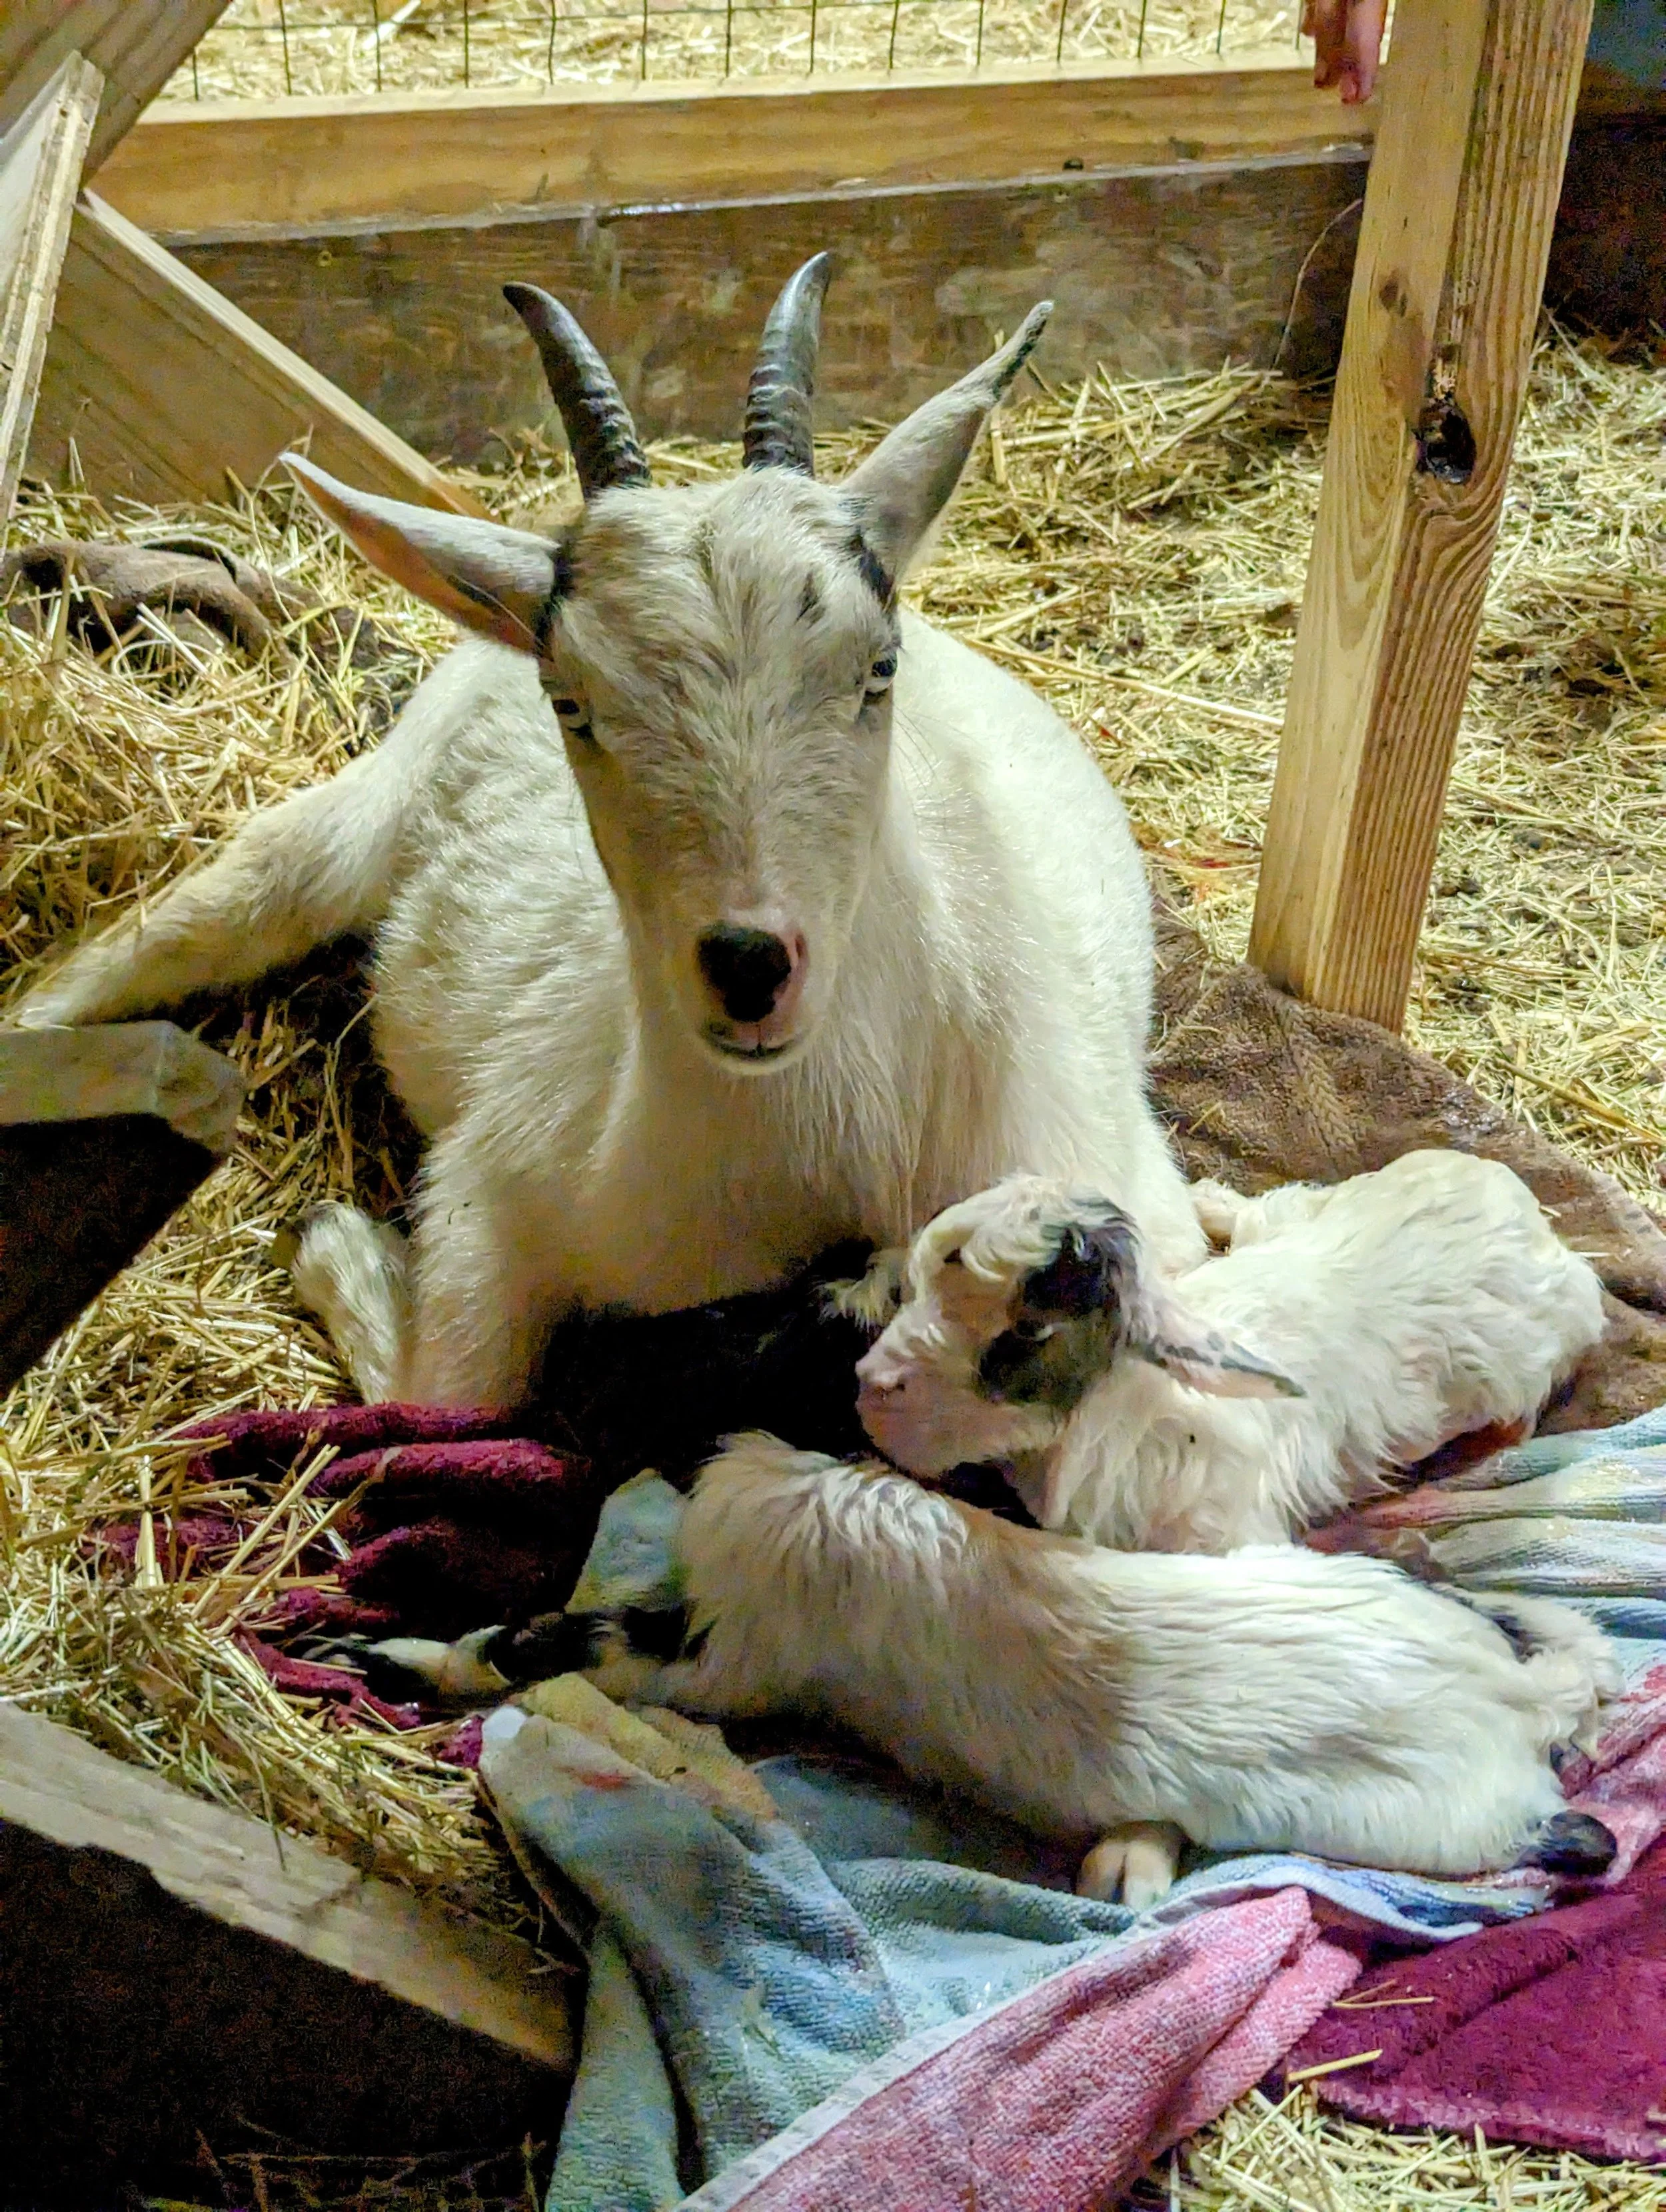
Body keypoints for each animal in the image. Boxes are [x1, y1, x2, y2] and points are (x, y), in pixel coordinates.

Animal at [13, 257, 1203, 1410]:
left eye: (879, 668)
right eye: (572, 702)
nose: (748, 967)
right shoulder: (493, 1187)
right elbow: (450, 1400)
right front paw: (334, 1240)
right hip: (352, 824)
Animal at [854, 1150, 1607, 1551]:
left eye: (1030, 1331)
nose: (869, 1385)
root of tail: (1515, 1199)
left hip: (1526, 1364)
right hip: (1308, 1212)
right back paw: (1209, 1201)